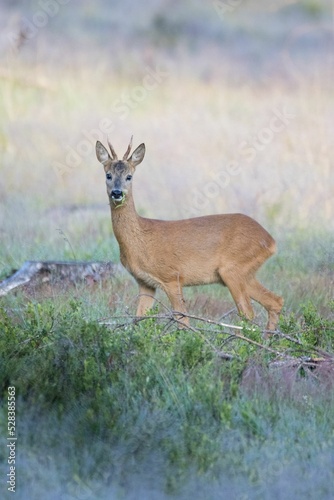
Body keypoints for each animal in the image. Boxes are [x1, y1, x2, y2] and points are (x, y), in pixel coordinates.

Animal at [95, 139, 284, 330]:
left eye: (129, 176)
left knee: (247, 312)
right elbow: (138, 320)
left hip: (233, 268)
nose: (117, 193)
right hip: (245, 273)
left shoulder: (171, 276)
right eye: (108, 175)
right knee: (275, 301)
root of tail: (270, 241)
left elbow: (183, 320)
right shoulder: (145, 283)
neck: (140, 239)